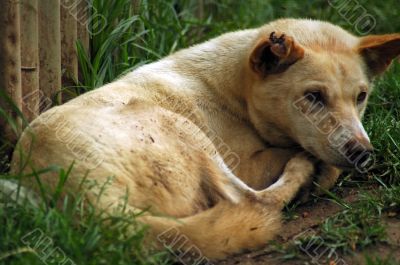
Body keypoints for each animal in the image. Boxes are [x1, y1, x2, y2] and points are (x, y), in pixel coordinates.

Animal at [10, 18, 400, 258]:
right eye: (313, 97)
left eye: (361, 96)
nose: (363, 153)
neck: (234, 88)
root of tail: (101, 208)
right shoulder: (247, 161)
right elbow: (315, 164)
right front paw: (315, 170)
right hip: (183, 129)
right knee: (251, 201)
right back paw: (302, 173)